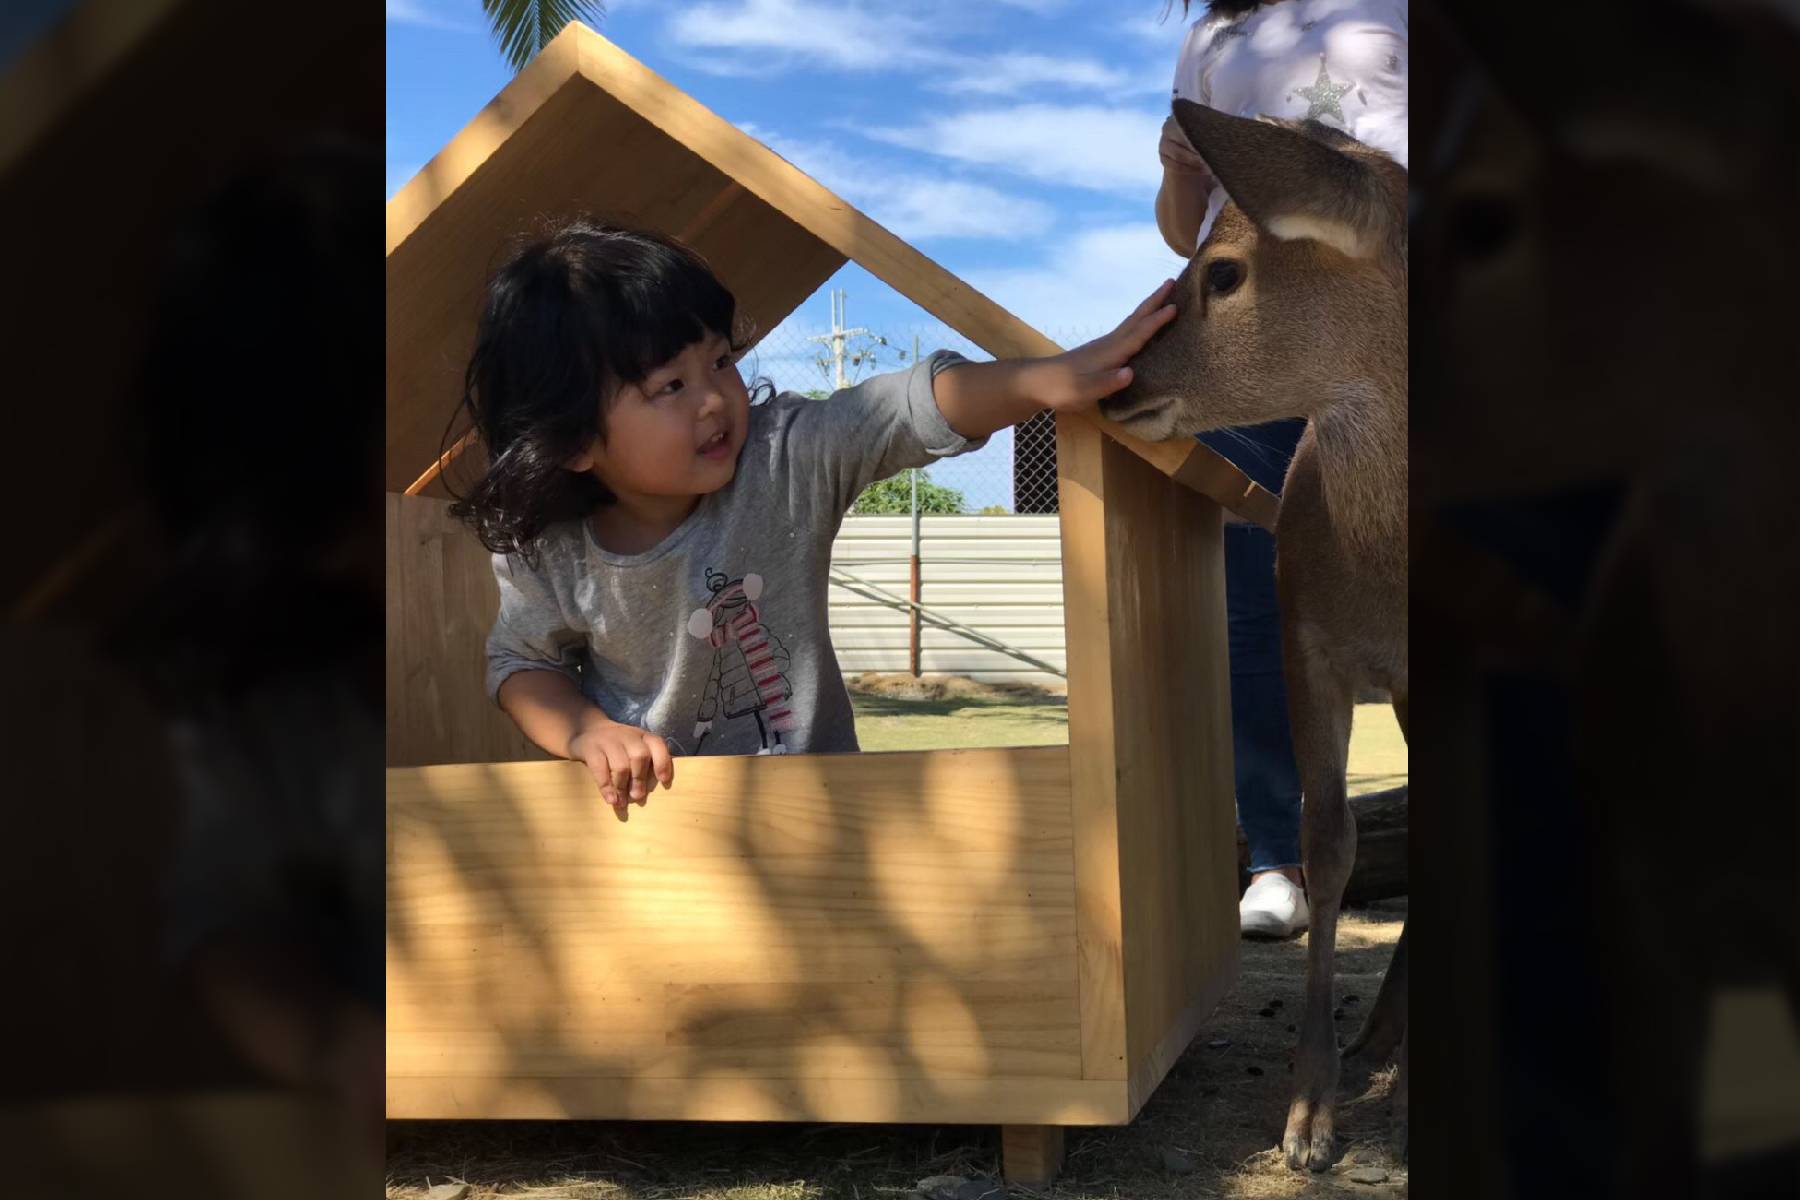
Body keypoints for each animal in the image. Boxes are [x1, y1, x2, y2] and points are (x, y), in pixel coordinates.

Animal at [1094, 103, 1404, 1173]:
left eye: (1223, 272)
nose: (1115, 382)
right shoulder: (1305, 640)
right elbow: (1327, 844)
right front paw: (1308, 1115)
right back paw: (1379, 1031)